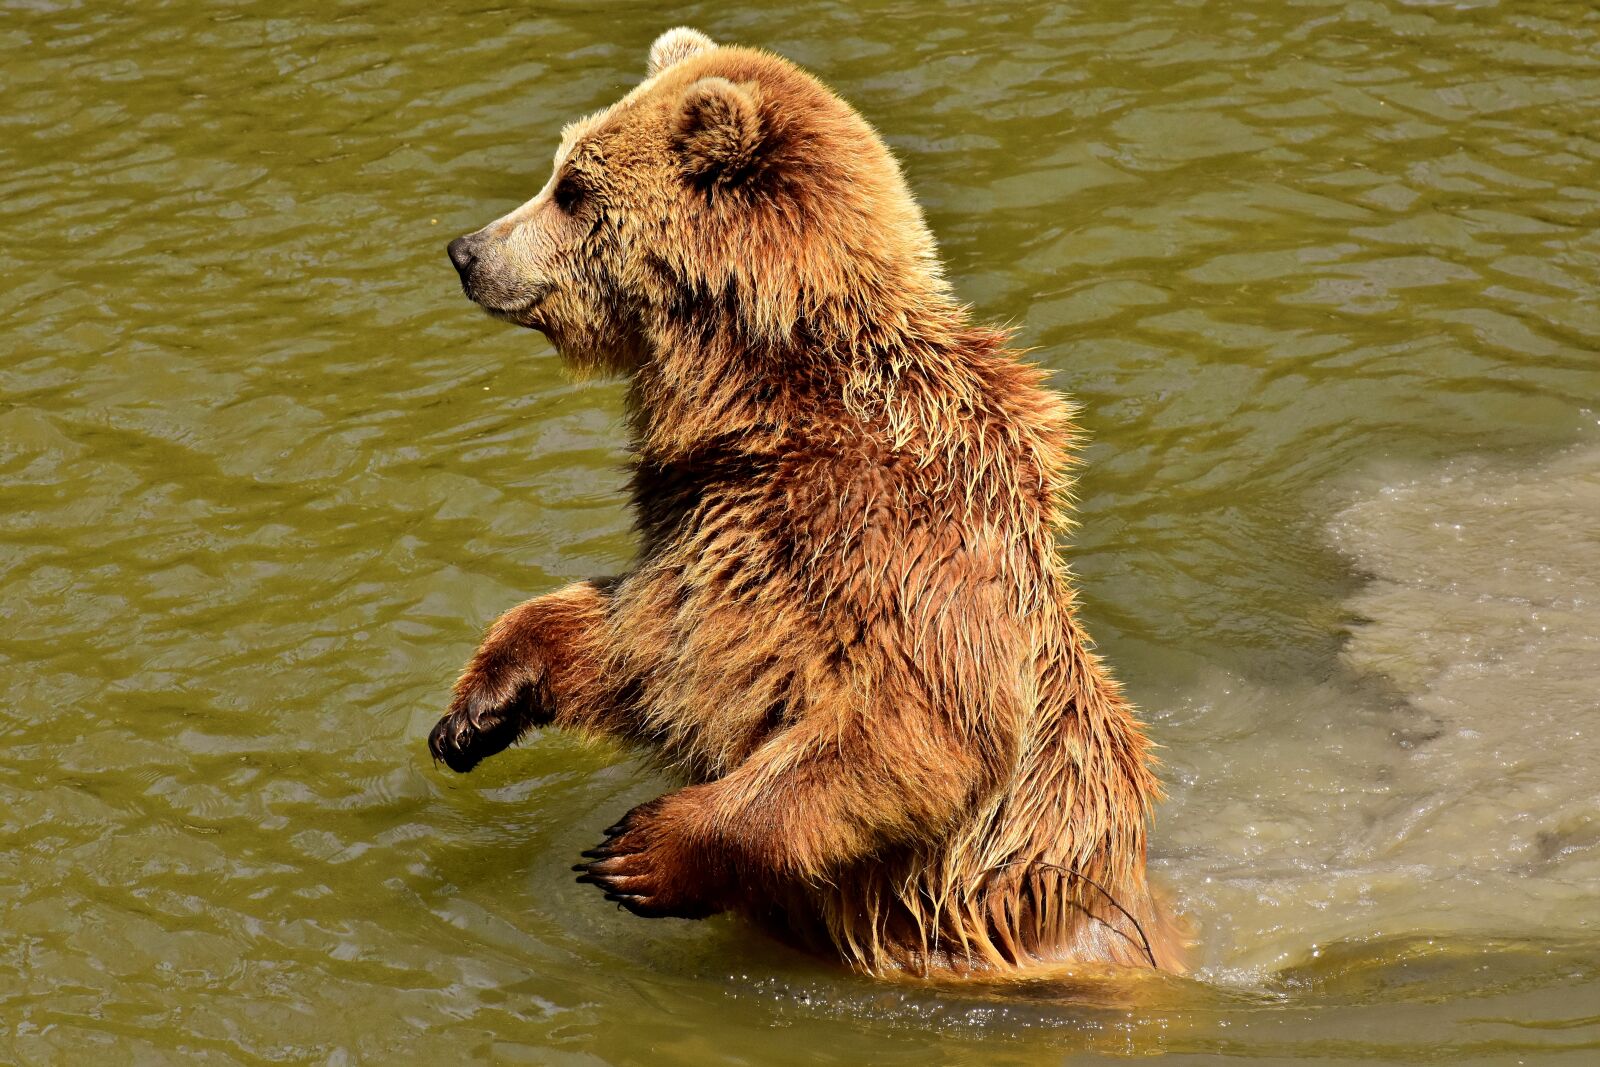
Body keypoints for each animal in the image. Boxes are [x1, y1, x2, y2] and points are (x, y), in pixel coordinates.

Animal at [431, 27, 1184, 978]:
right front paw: (477, 709)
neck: (763, 389)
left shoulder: (870, 531)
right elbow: (644, 638)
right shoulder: (707, 521)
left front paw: (640, 850)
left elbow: (915, 725)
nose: (466, 251)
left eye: (572, 188)